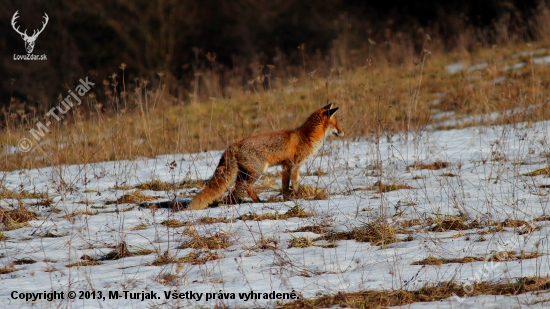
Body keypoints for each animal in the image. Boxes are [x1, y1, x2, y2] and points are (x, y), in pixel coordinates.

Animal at [189, 103, 344, 209]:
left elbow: (296, 186)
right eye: (336, 124)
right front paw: (287, 201)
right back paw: (248, 202)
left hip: (244, 174)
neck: (306, 137)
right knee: (240, 188)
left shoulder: (296, 168)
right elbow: (285, 187)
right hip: (257, 172)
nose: (343, 132)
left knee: (237, 189)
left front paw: (299, 198)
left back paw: (247, 201)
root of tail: (232, 146)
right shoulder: (288, 166)